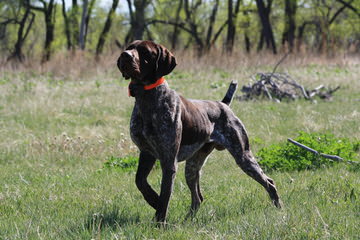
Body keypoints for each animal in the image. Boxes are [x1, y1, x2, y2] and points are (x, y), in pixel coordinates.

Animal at [117, 40, 282, 222]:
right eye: (130, 47)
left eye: (145, 52)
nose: (125, 55)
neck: (147, 99)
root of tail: (222, 104)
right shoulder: (147, 153)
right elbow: (140, 181)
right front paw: (153, 199)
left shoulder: (168, 161)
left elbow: (165, 195)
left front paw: (160, 219)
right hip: (192, 167)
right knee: (198, 198)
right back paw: (187, 220)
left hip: (243, 156)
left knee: (269, 182)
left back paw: (279, 208)